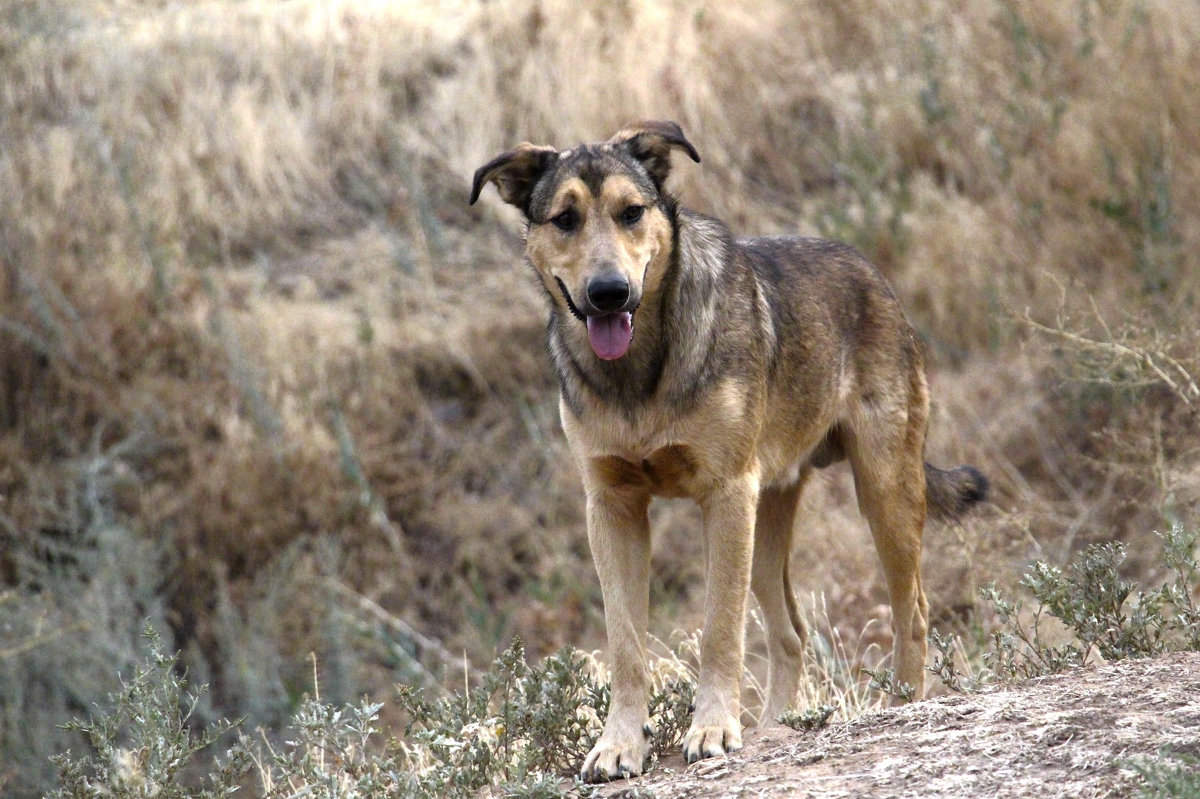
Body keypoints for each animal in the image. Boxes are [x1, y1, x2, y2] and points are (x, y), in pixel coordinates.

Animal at [468, 121, 984, 782]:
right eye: (564, 219)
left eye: (631, 213)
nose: (609, 293)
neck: (639, 373)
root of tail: (874, 273)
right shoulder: (611, 506)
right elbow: (626, 643)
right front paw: (619, 744)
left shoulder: (724, 493)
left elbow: (718, 628)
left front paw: (712, 729)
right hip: (767, 522)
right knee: (791, 634)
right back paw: (775, 728)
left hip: (882, 490)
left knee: (912, 610)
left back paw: (901, 705)